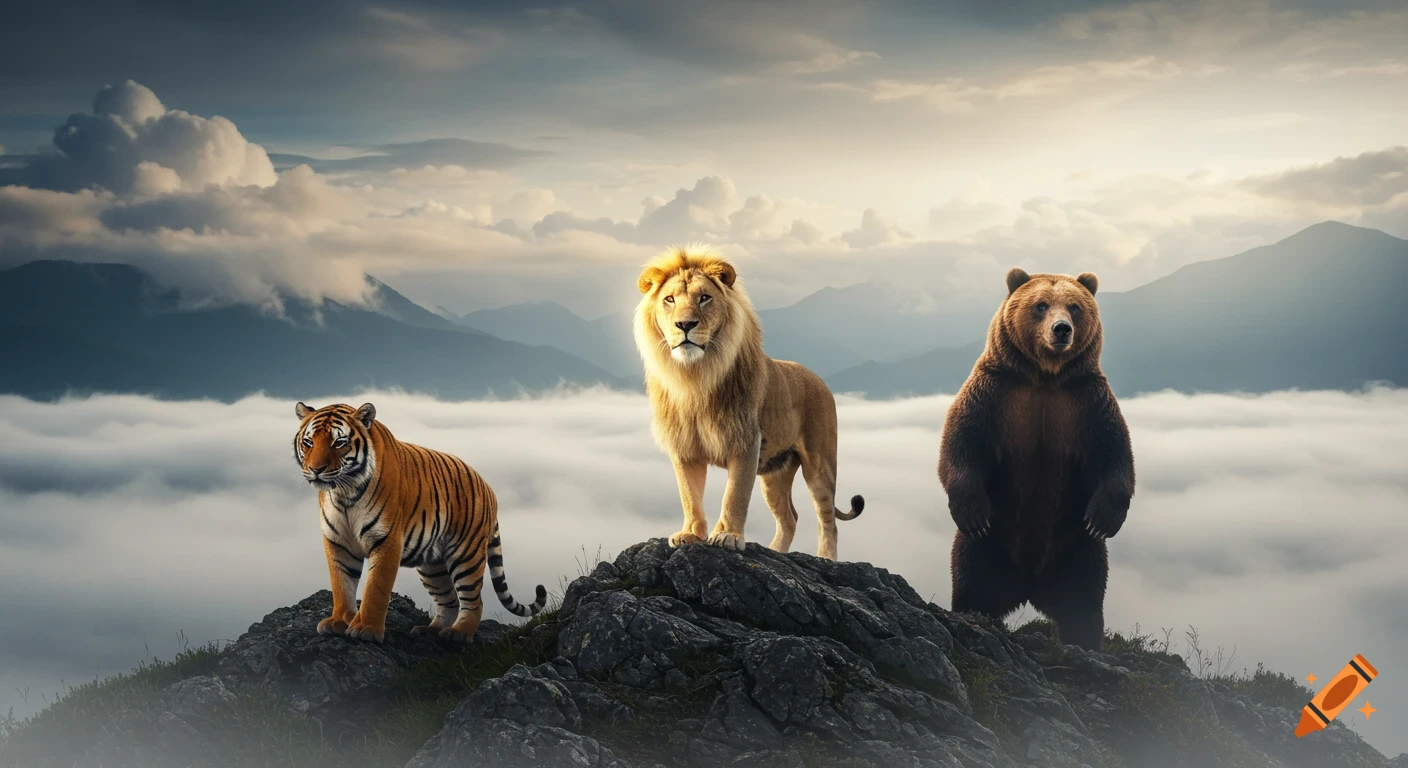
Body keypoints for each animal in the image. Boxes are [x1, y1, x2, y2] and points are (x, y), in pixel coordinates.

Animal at [292, 401, 546, 643]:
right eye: (308, 442)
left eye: (339, 443)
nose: (315, 470)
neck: (344, 493)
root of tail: (488, 487)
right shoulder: (338, 542)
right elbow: (341, 585)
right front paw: (339, 622)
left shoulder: (387, 541)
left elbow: (375, 589)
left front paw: (367, 629)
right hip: (432, 565)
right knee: (449, 601)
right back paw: (430, 630)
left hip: (467, 555)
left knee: (474, 601)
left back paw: (459, 633)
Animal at [633, 246, 865, 560]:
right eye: (669, 299)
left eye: (704, 298)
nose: (685, 325)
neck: (695, 378)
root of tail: (818, 378)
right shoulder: (684, 448)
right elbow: (689, 495)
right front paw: (690, 534)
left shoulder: (745, 440)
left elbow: (735, 494)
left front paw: (728, 536)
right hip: (775, 473)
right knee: (789, 518)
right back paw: (775, 551)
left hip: (820, 463)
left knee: (827, 518)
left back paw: (826, 558)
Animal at [938, 267, 1135, 651]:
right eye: (1041, 304)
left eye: (1074, 306)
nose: (1061, 330)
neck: (1045, 377)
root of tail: (1029, 585)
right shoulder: (995, 394)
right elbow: (963, 442)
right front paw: (973, 512)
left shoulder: (1086, 403)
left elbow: (1114, 454)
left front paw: (1104, 518)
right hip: (989, 549)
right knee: (973, 585)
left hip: (1075, 550)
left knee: (1084, 600)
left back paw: (1086, 642)